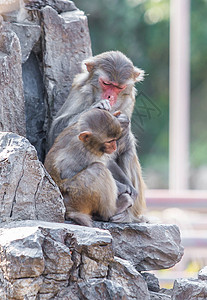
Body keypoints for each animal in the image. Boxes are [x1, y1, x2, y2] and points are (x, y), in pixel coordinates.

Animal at [48, 50, 146, 221]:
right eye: (106, 83)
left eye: (119, 87)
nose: (109, 97)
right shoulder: (80, 91)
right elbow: (54, 131)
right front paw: (97, 106)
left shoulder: (129, 100)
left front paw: (124, 123)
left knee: (127, 149)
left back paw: (127, 215)